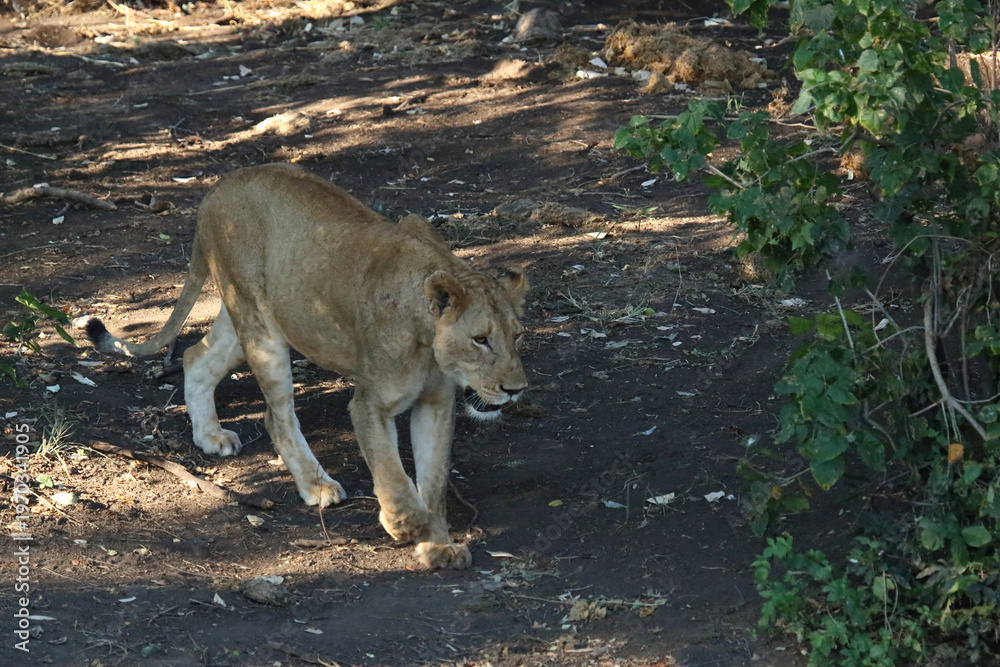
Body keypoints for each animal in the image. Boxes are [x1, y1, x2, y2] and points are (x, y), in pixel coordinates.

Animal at [86, 163, 529, 569]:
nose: (516, 390)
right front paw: (406, 524)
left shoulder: (435, 404)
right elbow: (392, 472)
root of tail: (219, 188)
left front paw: (437, 544)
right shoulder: (369, 405)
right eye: (480, 339)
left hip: (247, 318)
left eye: (518, 336)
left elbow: (433, 479)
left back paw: (210, 435)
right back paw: (316, 484)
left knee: (196, 357)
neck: (427, 340)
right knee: (276, 416)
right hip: (262, 330)